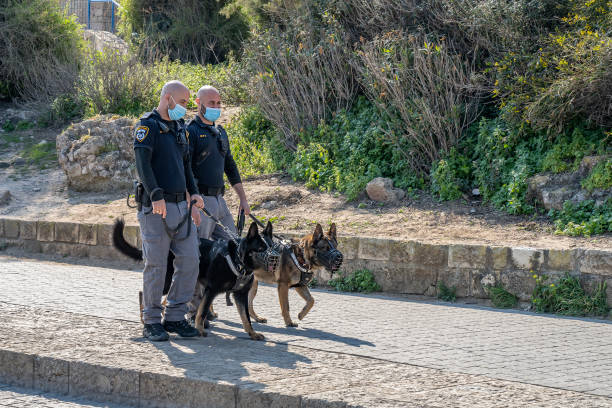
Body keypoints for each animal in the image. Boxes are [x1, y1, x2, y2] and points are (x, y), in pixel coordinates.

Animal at [112, 220, 268, 342]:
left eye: (271, 247)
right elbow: (202, 312)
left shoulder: (240, 295)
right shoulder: (211, 290)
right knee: (144, 292)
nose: (272, 261)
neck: (237, 260)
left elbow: (246, 317)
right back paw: (145, 319)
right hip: (167, 281)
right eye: (261, 248)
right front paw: (200, 329)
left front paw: (252, 333)